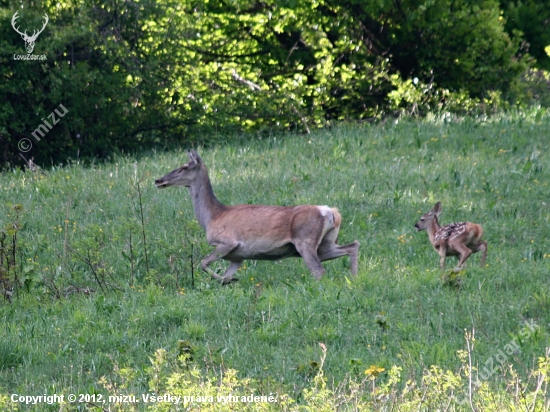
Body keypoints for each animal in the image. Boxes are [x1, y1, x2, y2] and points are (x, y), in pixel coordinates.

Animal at [155, 150, 362, 284]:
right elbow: (224, 273)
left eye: (183, 167)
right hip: (324, 244)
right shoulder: (237, 256)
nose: (158, 180)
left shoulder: (228, 242)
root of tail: (331, 212)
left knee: (319, 271)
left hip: (306, 240)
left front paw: (229, 280)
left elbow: (202, 263)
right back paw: (354, 280)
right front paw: (229, 281)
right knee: (352, 245)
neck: (212, 217)